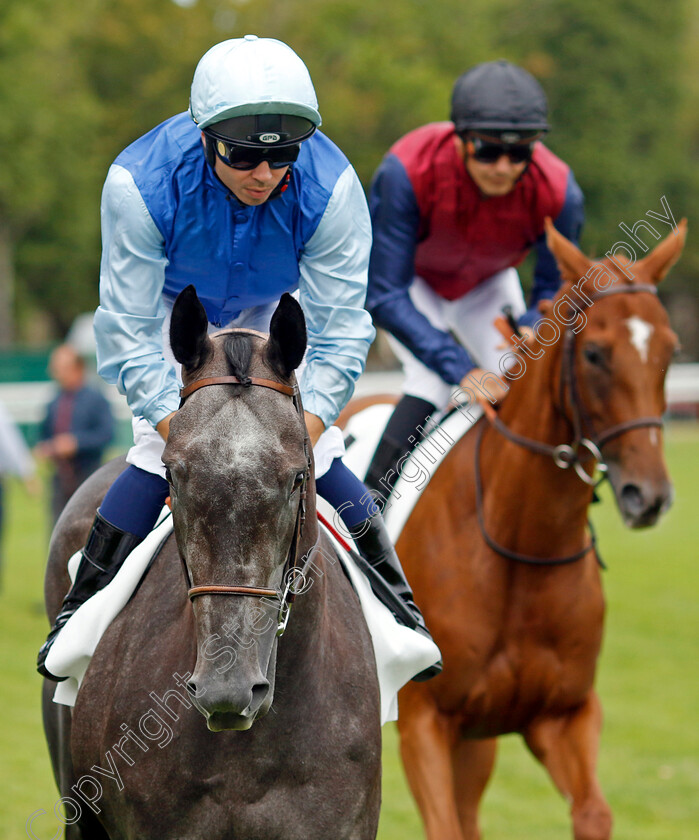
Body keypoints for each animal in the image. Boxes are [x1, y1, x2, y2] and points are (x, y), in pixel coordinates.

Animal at [342, 220, 688, 836]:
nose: (648, 496)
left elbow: (593, 813)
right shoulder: (426, 724)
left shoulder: (564, 714)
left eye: (670, 351)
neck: (520, 548)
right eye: (594, 353)